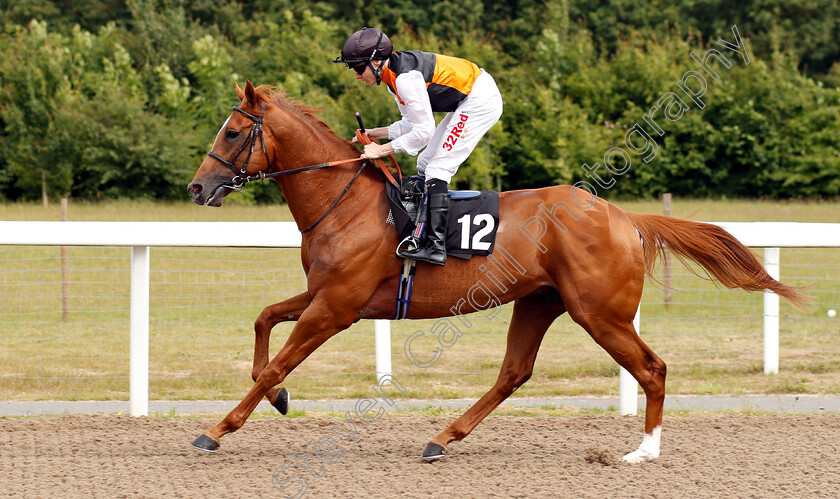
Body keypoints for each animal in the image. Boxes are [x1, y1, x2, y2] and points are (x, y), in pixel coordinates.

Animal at [187, 81, 804, 464]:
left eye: (234, 133)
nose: (197, 188)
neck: (345, 202)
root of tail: (624, 216)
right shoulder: (328, 296)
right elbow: (265, 321)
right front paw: (279, 399)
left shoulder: (336, 307)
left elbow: (276, 362)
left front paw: (216, 431)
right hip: (540, 301)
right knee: (513, 373)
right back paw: (441, 438)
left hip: (599, 312)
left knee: (651, 369)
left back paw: (644, 451)